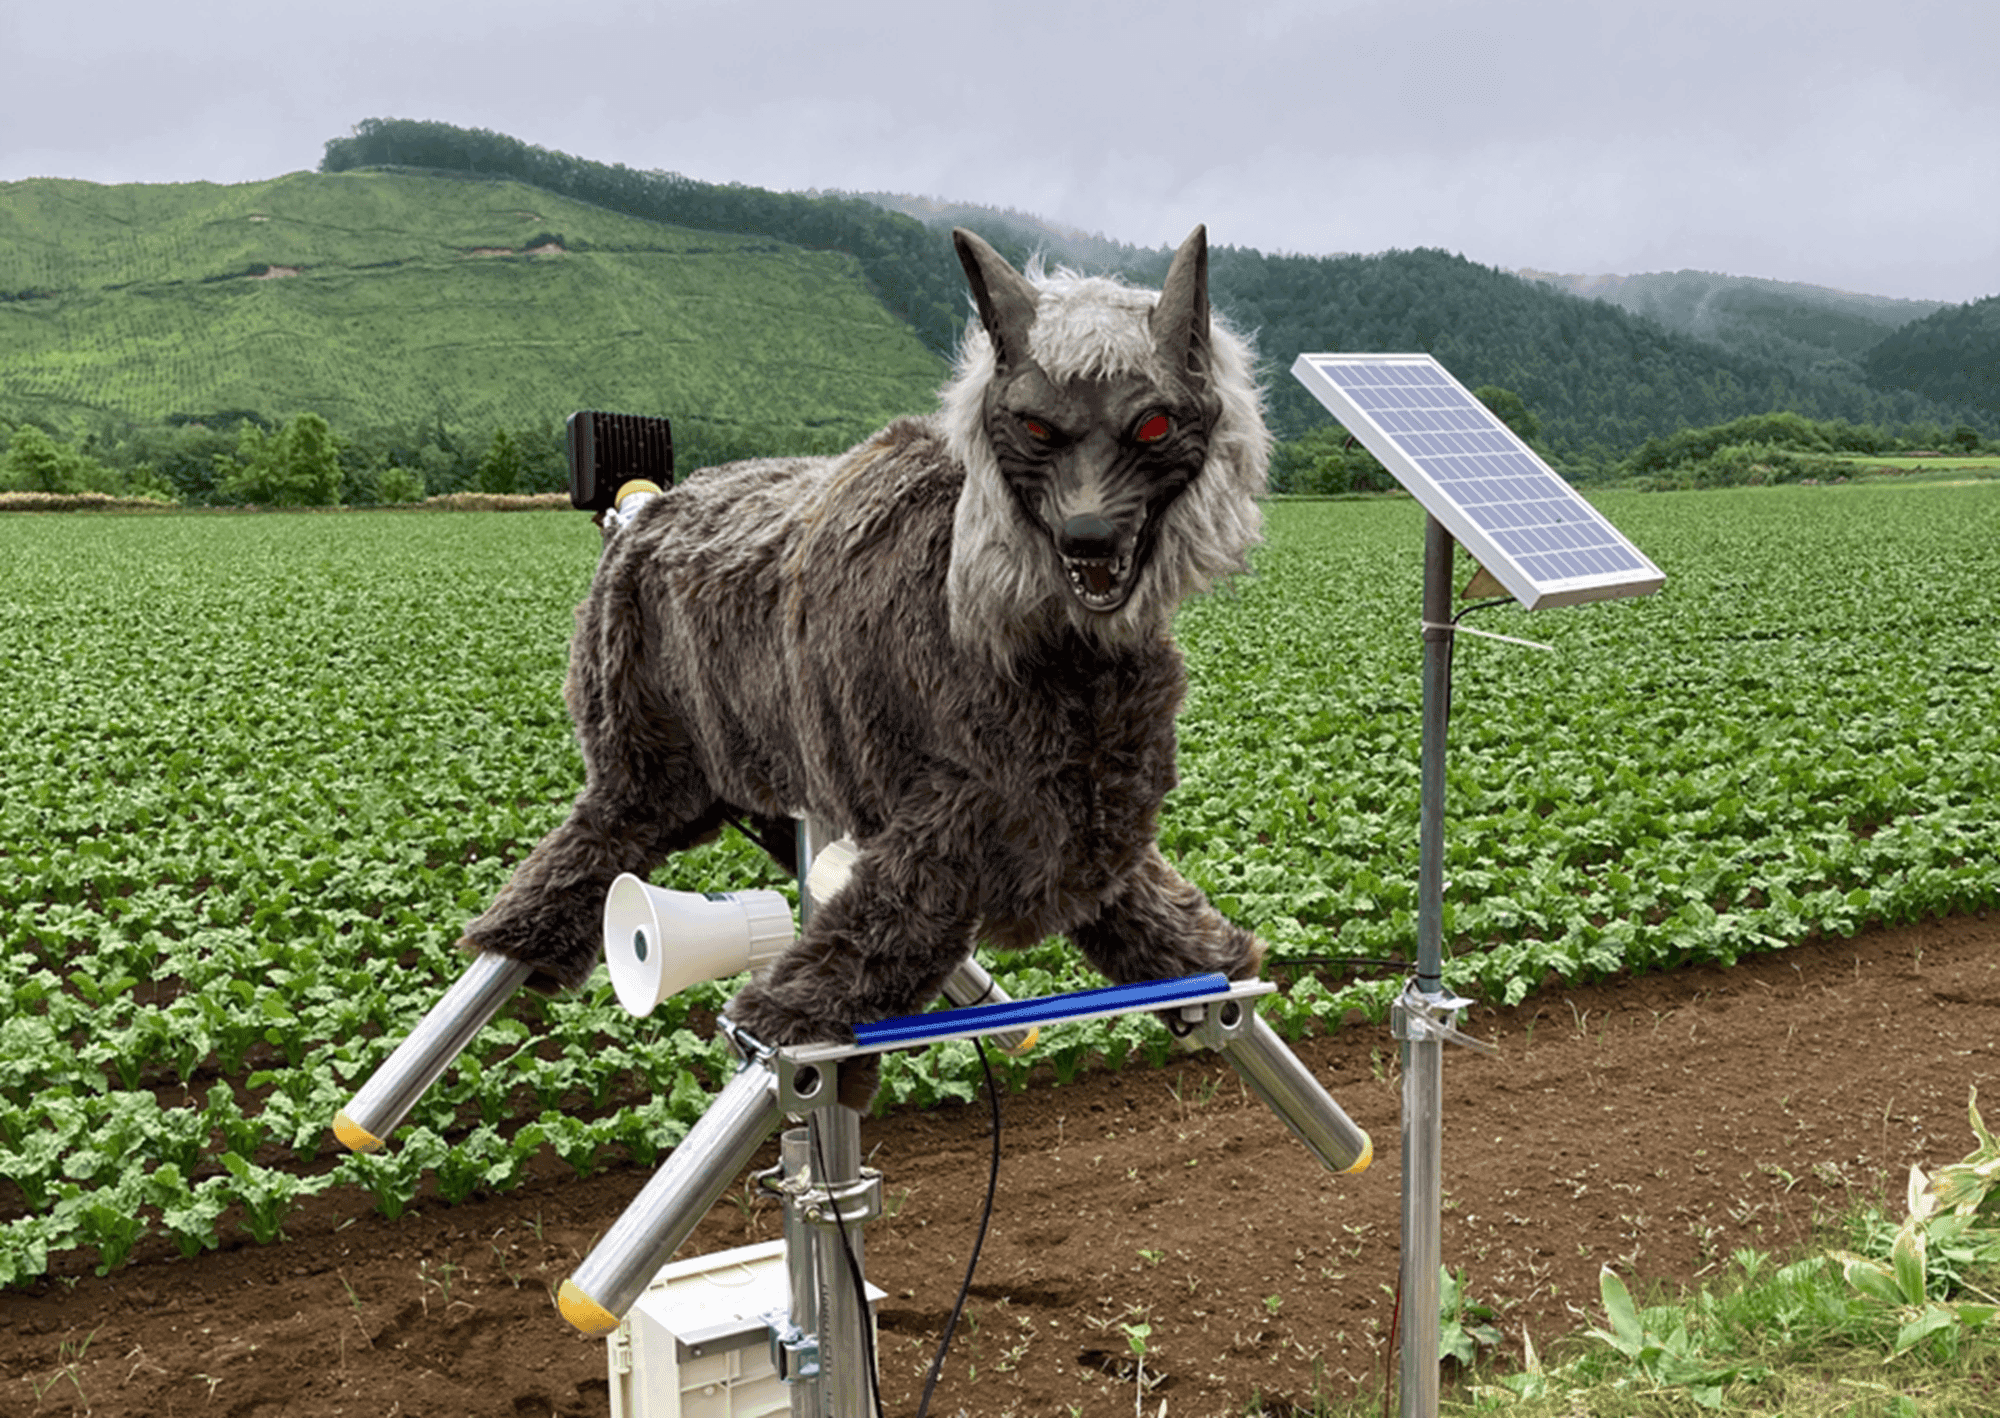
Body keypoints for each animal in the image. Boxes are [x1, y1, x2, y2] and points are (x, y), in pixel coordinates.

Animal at [460, 226, 1272, 1104]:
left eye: (1153, 426)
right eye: (1035, 428)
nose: (1087, 535)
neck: (1045, 648)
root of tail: (644, 511)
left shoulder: (1086, 824)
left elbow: (1161, 924)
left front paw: (1217, 963)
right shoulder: (949, 827)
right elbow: (865, 951)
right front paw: (791, 1032)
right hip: (642, 755)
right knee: (592, 840)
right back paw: (519, 933)